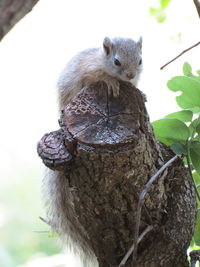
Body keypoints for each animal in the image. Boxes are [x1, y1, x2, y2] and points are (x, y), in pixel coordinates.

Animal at [43, 36, 143, 266]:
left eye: (140, 60)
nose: (130, 75)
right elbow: (97, 78)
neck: (102, 60)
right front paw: (111, 83)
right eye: (116, 61)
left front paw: (139, 91)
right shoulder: (88, 70)